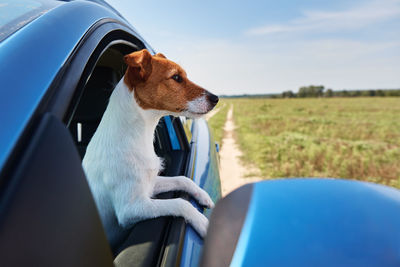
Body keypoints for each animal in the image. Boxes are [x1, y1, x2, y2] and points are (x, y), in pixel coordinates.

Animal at [81, 49, 219, 248]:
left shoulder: (150, 184)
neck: (136, 136)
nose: (216, 98)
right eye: (176, 77)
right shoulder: (131, 208)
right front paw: (204, 223)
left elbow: (183, 179)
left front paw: (203, 196)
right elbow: (179, 203)